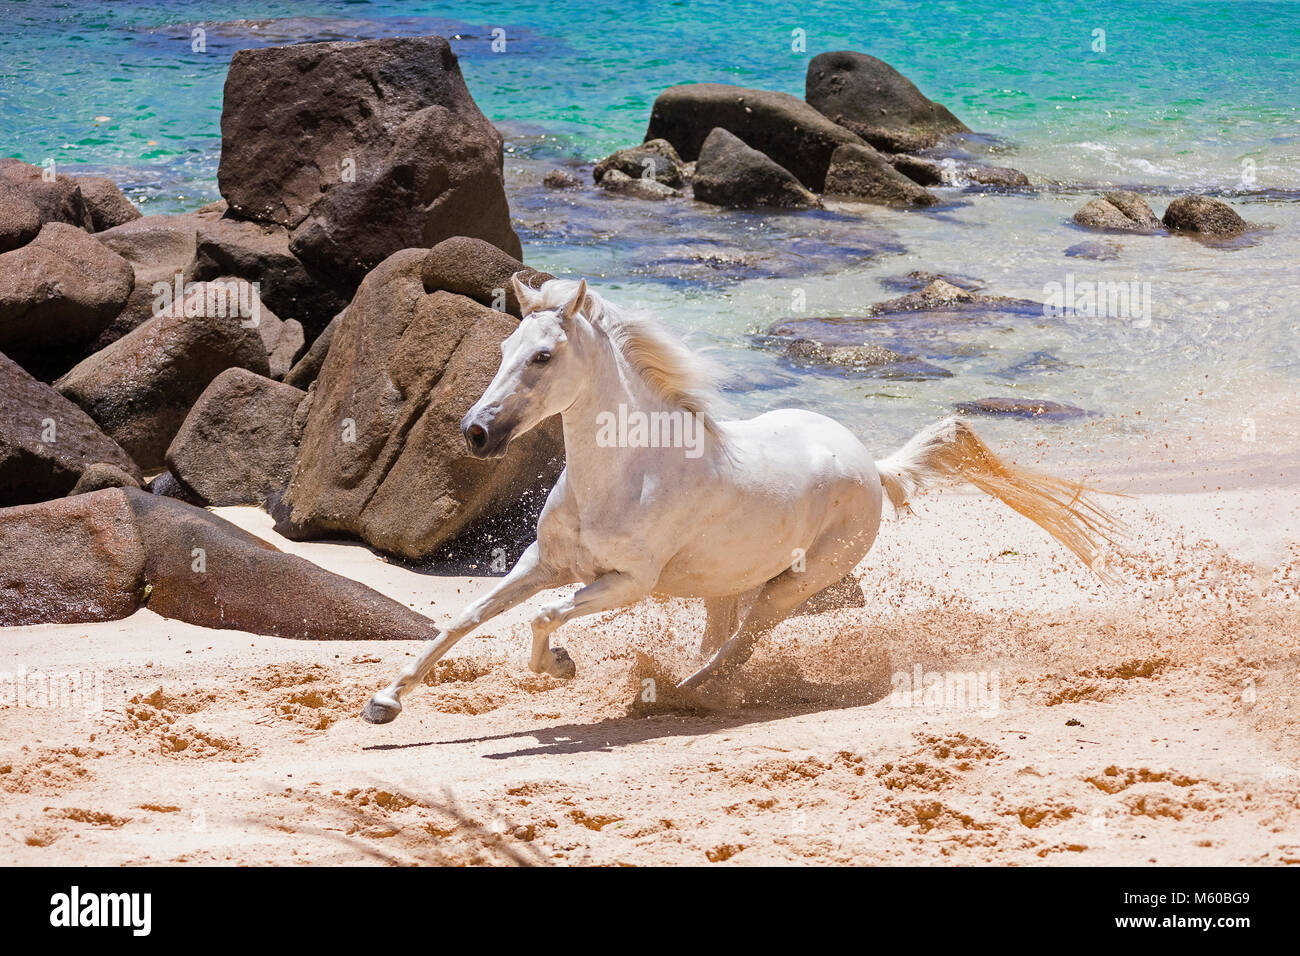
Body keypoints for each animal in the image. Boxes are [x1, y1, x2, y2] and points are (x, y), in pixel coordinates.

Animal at [361, 273, 1123, 723]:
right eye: (503, 350)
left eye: (543, 357)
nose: (476, 433)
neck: (625, 473)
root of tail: (872, 467)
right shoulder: (542, 564)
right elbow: (464, 620)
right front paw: (384, 701)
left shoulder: (627, 584)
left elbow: (544, 618)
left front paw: (559, 666)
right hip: (722, 583)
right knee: (724, 636)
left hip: (796, 583)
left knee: (744, 643)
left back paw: (678, 695)